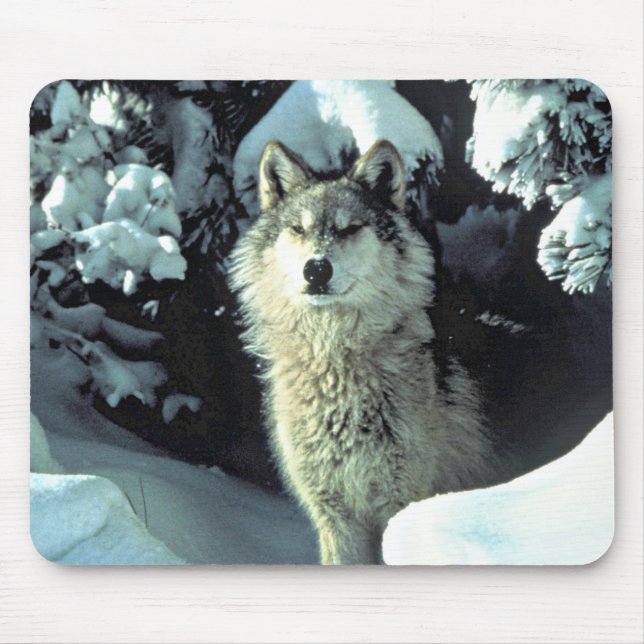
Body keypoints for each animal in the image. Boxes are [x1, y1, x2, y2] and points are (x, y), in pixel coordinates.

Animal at [229, 139, 511, 564]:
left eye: (349, 228)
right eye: (298, 229)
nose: (316, 269)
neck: (335, 363)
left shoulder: (400, 505)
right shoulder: (334, 517)